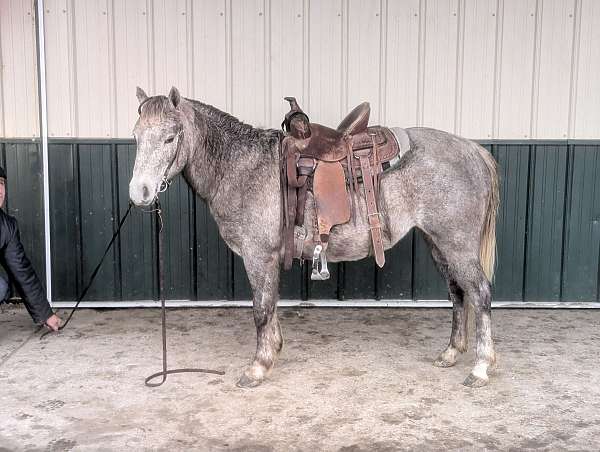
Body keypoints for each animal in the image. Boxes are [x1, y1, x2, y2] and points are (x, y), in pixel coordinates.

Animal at [129, 87, 500, 388]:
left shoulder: (257, 256)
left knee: (480, 293)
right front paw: (273, 351)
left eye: (170, 137)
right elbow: (271, 305)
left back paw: (481, 367)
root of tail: (472, 150)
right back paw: (451, 353)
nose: (139, 193)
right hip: (438, 242)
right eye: (136, 136)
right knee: (457, 293)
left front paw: (258, 367)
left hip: (457, 244)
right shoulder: (270, 258)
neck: (243, 168)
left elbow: (260, 310)